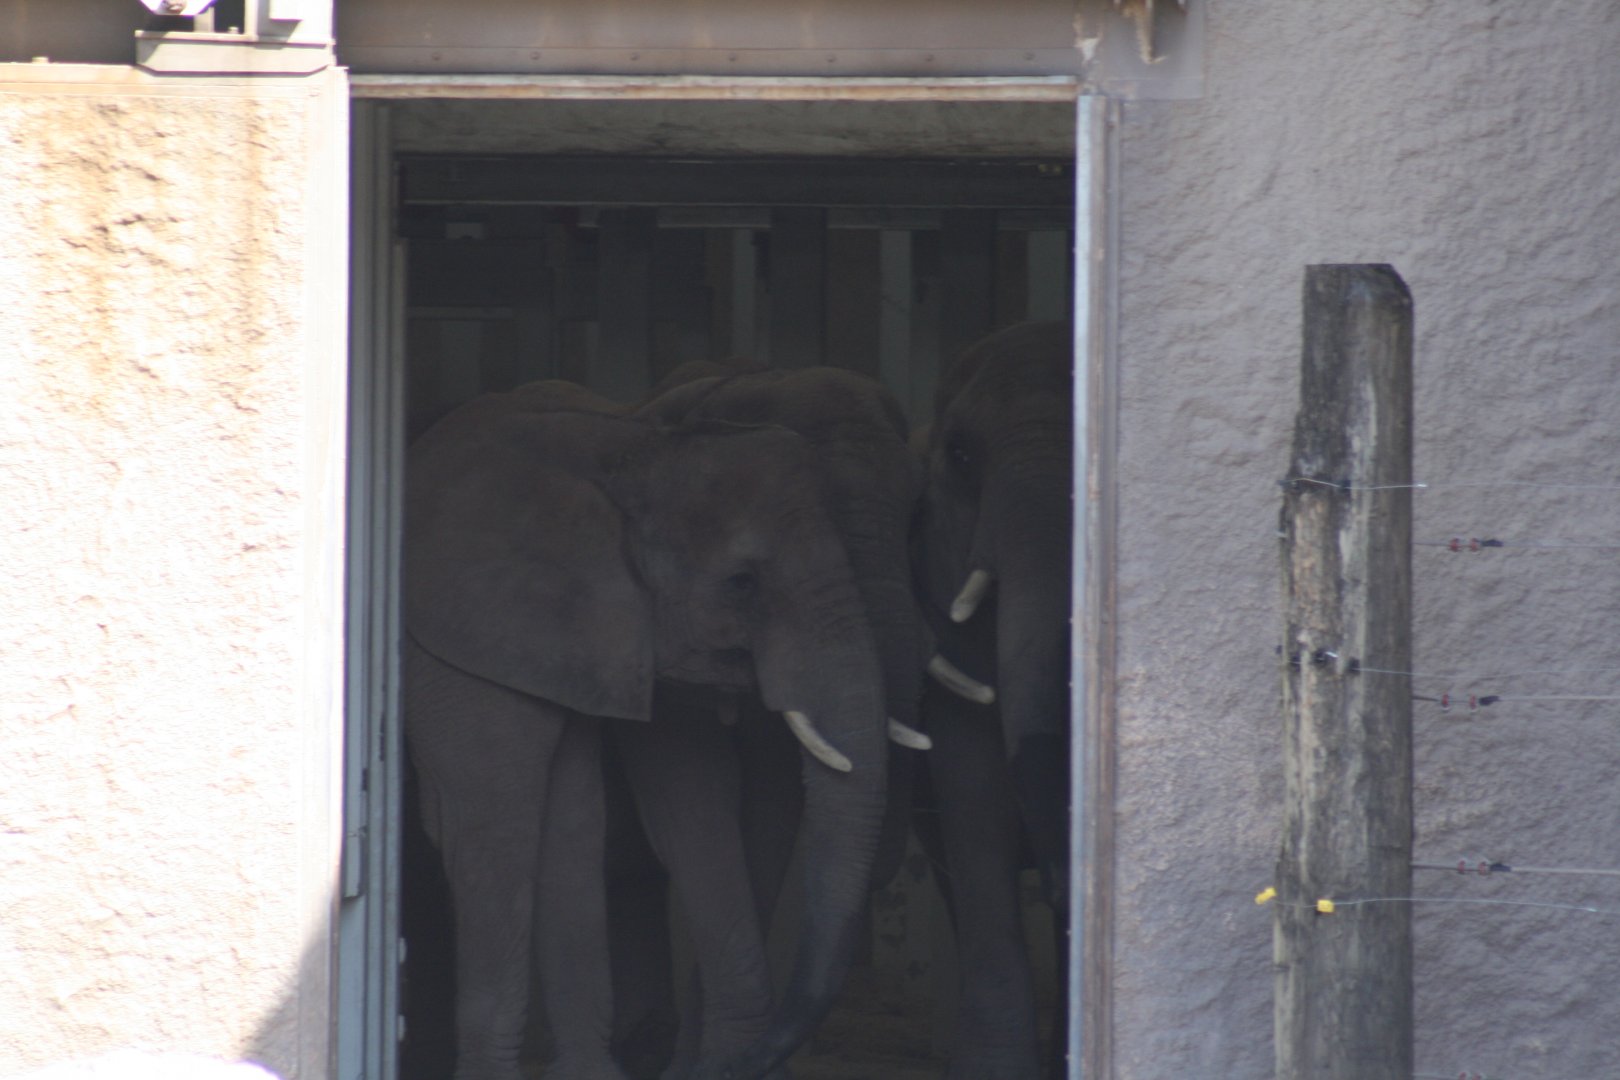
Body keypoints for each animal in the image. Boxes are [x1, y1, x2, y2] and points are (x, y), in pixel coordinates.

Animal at [403, 389, 897, 1080]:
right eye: (742, 582)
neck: (627, 451)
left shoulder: (573, 639)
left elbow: (575, 823)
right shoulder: (461, 638)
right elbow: (493, 821)